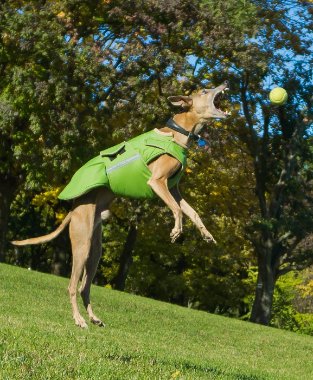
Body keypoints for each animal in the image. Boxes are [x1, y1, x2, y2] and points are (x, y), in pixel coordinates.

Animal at [11, 81, 229, 328]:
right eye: (204, 91)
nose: (225, 84)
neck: (178, 132)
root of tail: (74, 209)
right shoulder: (157, 182)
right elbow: (176, 209)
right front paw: (176, 231)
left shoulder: (174, 189)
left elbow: (192, 212)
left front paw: (206, 234)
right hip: (82, 244)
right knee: (72, 286)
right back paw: (79, 320)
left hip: (95, 250)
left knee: (85, 287)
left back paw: (94, 318)